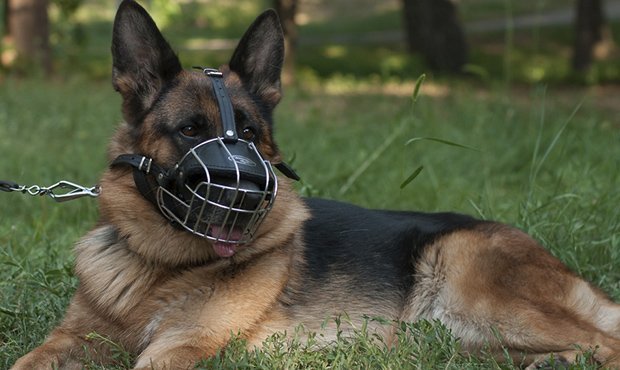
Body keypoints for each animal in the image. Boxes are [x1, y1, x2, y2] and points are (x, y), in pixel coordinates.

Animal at [10, 0, 620, 370]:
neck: (160, 266)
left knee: (606, 343)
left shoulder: (180, 347)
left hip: (481, 296)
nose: (248, 191)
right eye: (190, 131)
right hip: (464, 340)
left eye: (249, 134)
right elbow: (23, 360)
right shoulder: (67, 342)